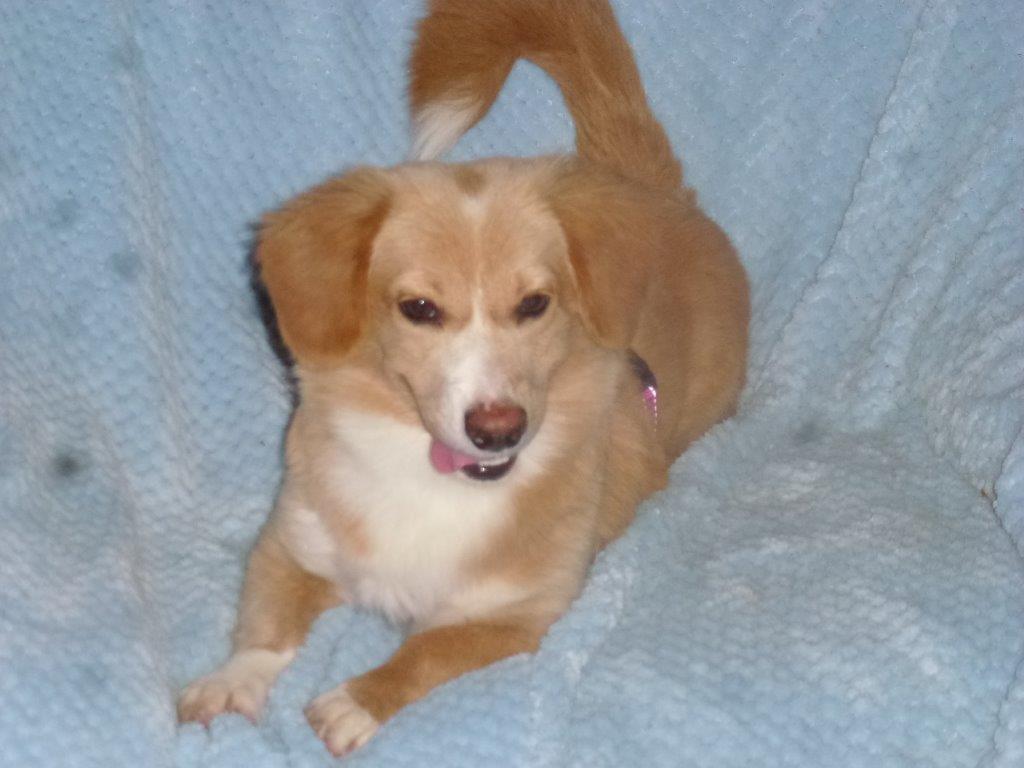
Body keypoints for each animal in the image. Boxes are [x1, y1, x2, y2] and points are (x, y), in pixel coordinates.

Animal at [177, 0, 749, 756]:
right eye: (419, 308)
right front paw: (230, 682)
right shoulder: (290, 546)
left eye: (535, 304)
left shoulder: (519, 617)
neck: (431, 480)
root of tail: (655, 188)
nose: (498, 429)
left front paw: (357, 700)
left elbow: (428, 651)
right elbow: (265, 627)